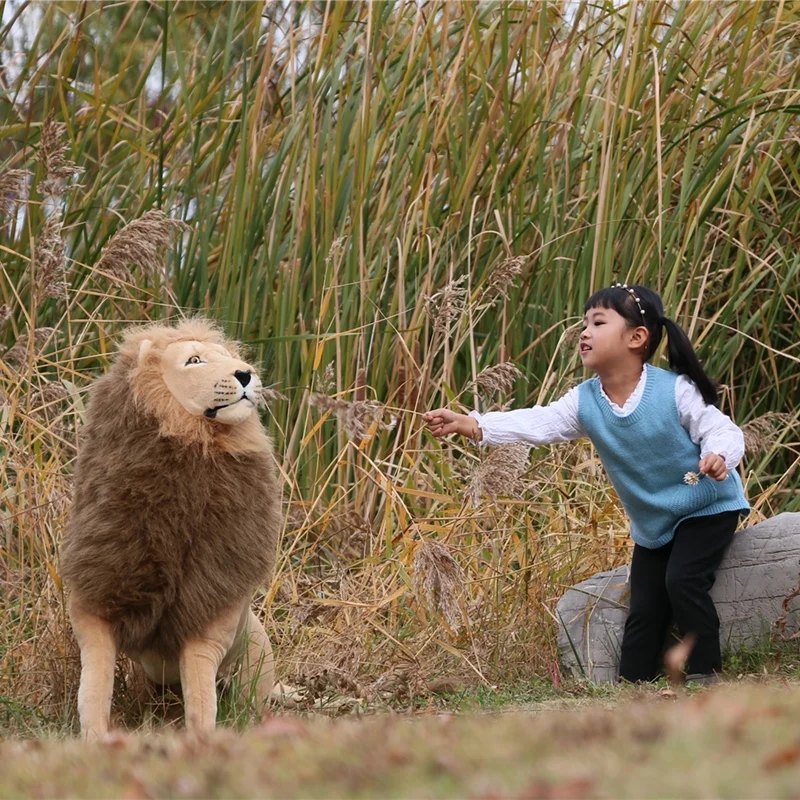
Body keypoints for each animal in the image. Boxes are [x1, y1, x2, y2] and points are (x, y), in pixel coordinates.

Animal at [60, 318, 281, 740]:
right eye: (195, 360)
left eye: (230, 357)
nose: (246, 373)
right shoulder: (96, 595)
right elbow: (94, 681)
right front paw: (95, 737)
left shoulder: (210, 612)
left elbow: (201, 693)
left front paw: (200, 740)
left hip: (256, 657)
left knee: (250, 701)